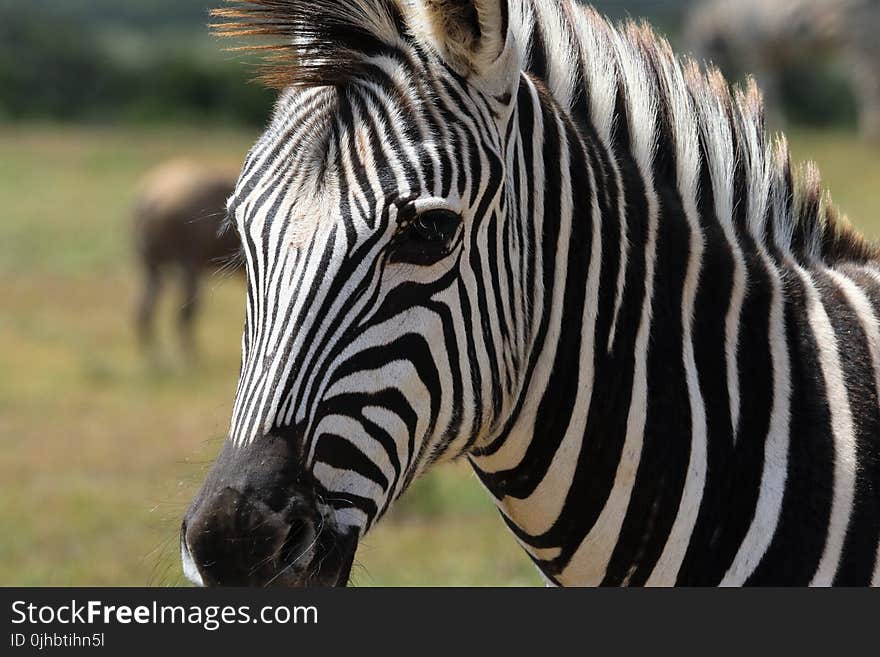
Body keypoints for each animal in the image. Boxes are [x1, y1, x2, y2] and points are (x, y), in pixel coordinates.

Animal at [688, 0, 880, 142]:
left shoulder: (754, 49)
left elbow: (766, 87)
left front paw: (766, 127)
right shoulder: (775, 53)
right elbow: (774, 89)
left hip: (857, 35)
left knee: (866, 82)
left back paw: (871, 134)